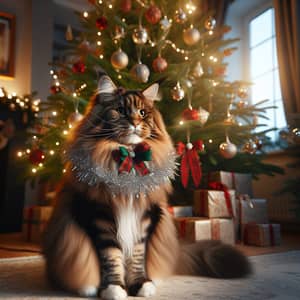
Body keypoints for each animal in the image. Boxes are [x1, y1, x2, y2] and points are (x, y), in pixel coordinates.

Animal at [42, 75, 251, 300]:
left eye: (142, 113)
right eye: (121, 111)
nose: (134, 122)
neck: (130, 159)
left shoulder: (144, 219)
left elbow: (137, 257)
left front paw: (140, 284)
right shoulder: (100, 218)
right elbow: (111, 258)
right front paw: (114, 288)